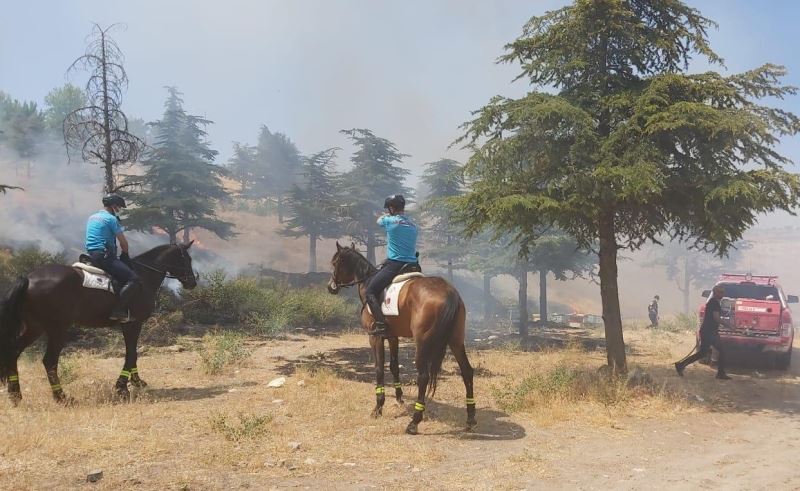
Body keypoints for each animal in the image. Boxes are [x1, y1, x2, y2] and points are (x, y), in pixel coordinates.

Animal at [0, 242, 198, 404]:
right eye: (187, 259)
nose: (192, 282)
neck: (143, 276)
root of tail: (29, 279)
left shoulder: (129, 324)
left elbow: (132, 353)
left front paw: (136, 382)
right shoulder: (133, 323)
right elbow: (131, 354)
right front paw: (121, 387)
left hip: (35, 327)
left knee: (13, 352)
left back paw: (15, 395)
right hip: (57, 329)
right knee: (49, 360)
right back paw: (61, 397)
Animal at [324, 242, 476, 434]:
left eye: (335, 263)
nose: (331, 286)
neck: (368, 282)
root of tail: (449, 292)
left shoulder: (375, 337)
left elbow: (379, 369)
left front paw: (378, 407)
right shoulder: (392, 336)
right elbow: (394, 367)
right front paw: (399, 398)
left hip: (423, 342)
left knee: (423, 376)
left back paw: (414, 422)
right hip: (455, 340)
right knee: (467, 371)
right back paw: (470, 418)